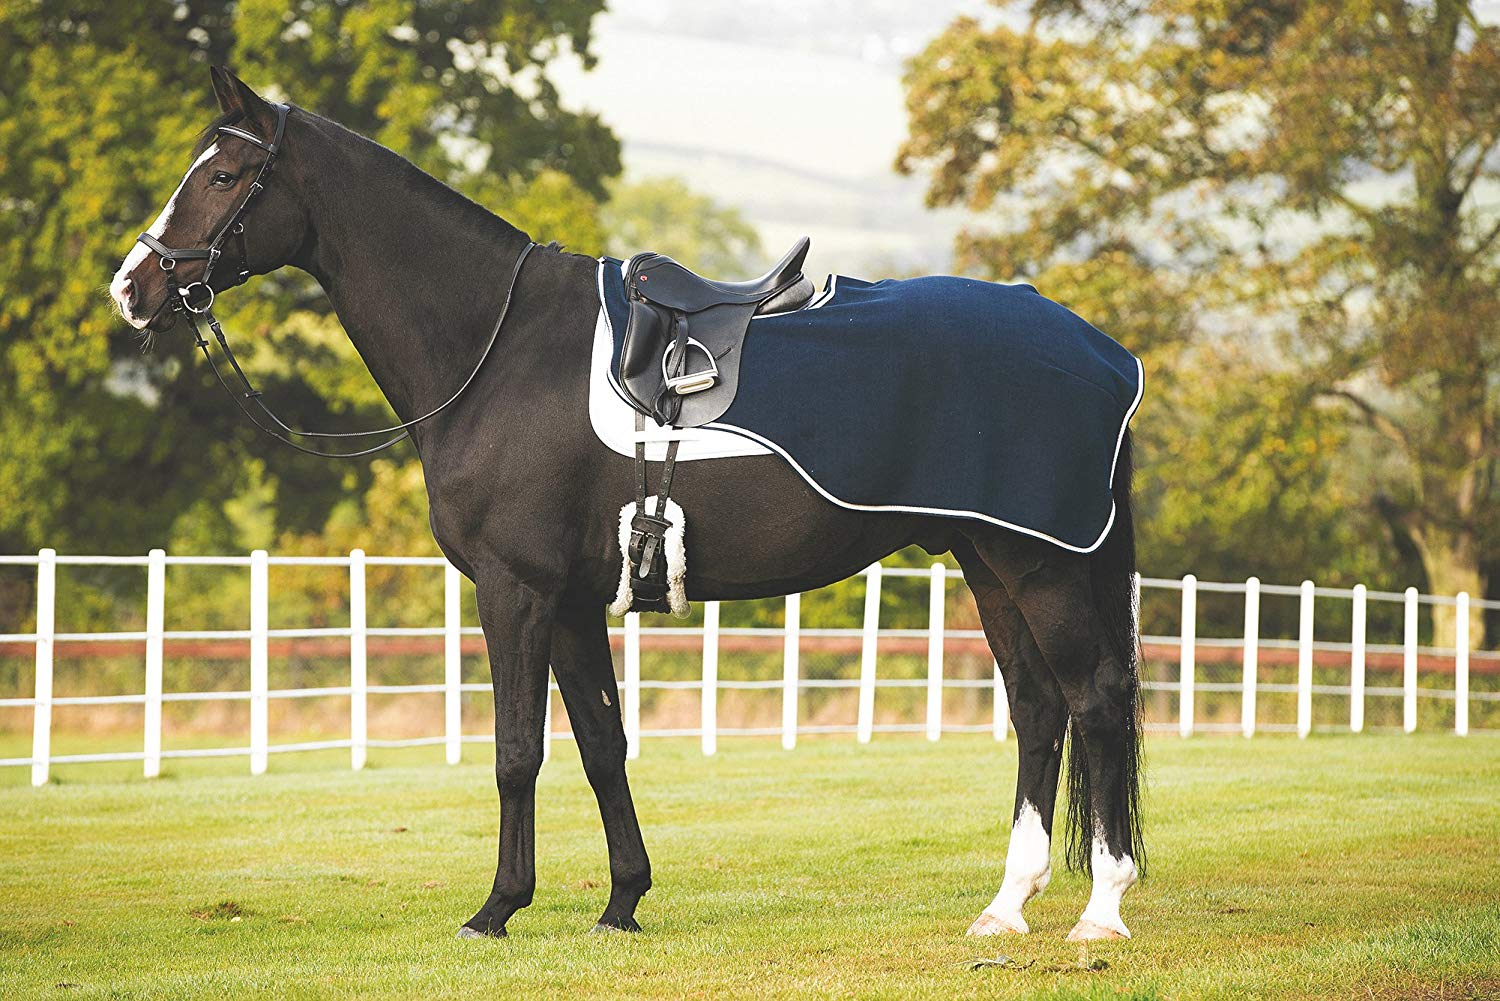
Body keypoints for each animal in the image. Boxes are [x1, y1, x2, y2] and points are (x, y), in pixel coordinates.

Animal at [110, 68, 1145, 943]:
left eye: (227, 173)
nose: (134, 286)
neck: (500, 350)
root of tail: (1100, 350)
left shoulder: (515, 590)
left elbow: (517, 750)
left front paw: (496, 908)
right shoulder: (570, 601)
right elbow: (602, 745)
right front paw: (622, 902)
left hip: (1041, 565)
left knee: (1092, 701)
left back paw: (1100, 911)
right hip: (989, 561)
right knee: (1038, 709)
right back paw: (1006, 905)